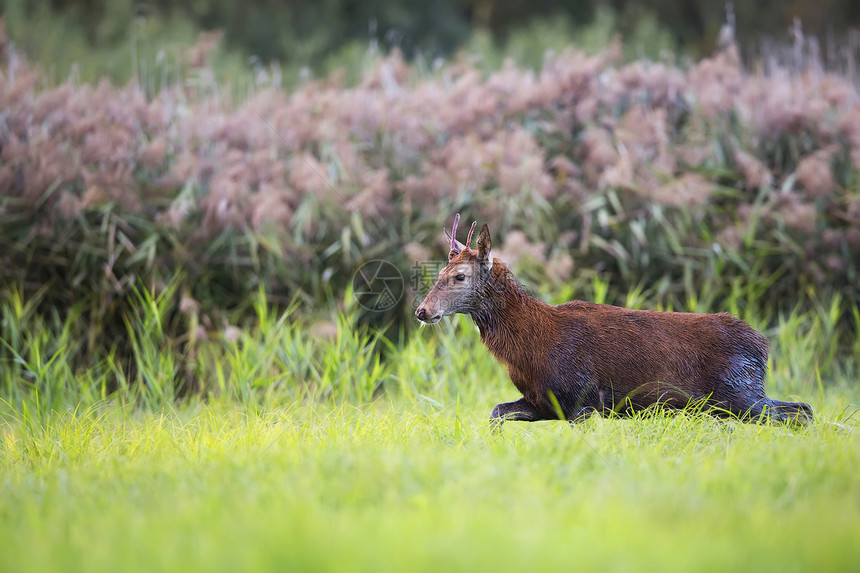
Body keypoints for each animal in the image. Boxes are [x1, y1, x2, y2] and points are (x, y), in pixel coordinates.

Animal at [414, 214, 812, 424]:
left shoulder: (581, 397)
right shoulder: (544, 402)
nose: (422, 311)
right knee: (801, 408)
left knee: (799, 410)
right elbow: (495, 412)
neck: (530, 345)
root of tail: (763, 345)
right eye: (439, 273)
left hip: (737, 392)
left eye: (459, 276)